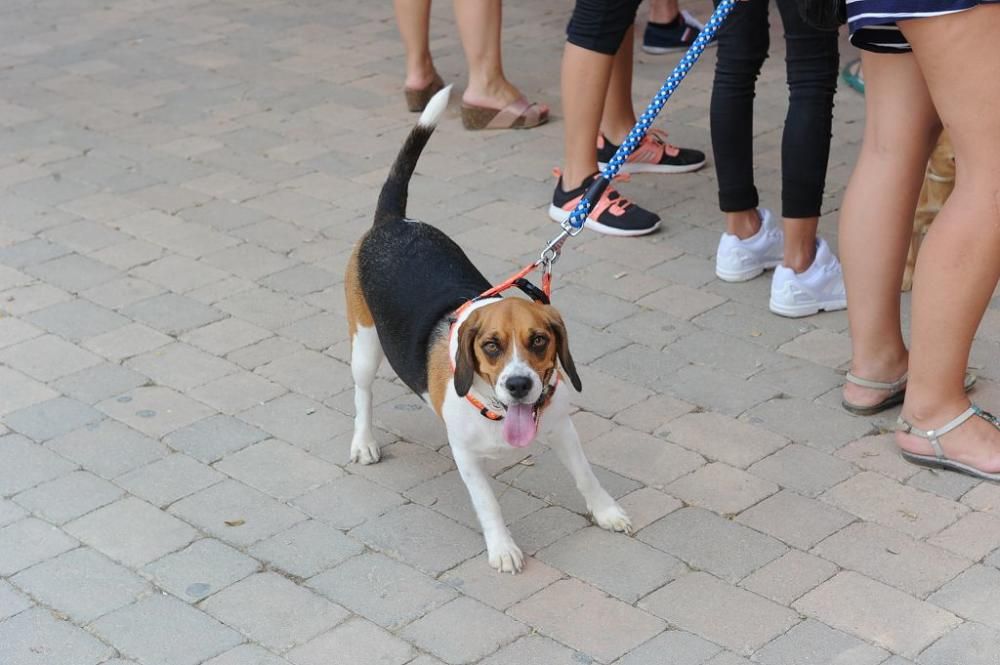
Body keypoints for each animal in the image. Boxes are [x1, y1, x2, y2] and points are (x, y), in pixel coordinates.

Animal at [342, 88, 624, 572]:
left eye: (539, 341)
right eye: (491, 347)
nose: (518, 385)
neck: (498, 410)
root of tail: (393, 222)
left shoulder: (562, 428)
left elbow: (587, 475)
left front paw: (606, 511)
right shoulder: (468, 459)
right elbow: (489, 504)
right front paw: (503, 549)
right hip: (364, 344)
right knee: (364, 394)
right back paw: (364, 442)